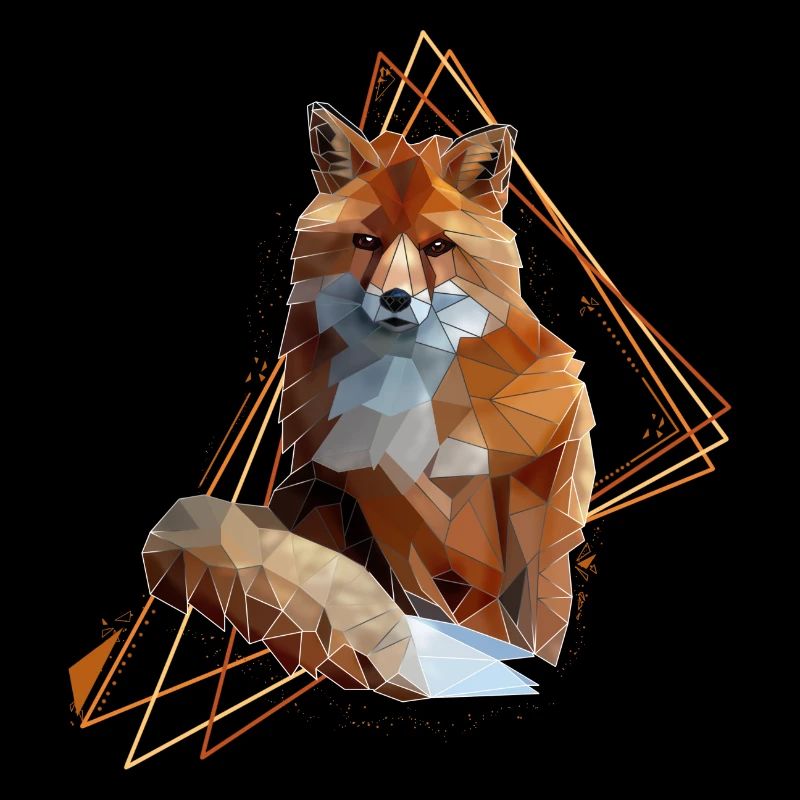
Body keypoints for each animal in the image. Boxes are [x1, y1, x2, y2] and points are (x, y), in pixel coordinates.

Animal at [143, 103, 595, 701]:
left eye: (436, 247)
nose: (397, 299)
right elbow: (428, 600)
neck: (408, 395)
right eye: (365, 242)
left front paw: (532, 649)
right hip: (321, 499)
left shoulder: (548, 444)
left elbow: (537, 597)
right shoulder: (374, 488)